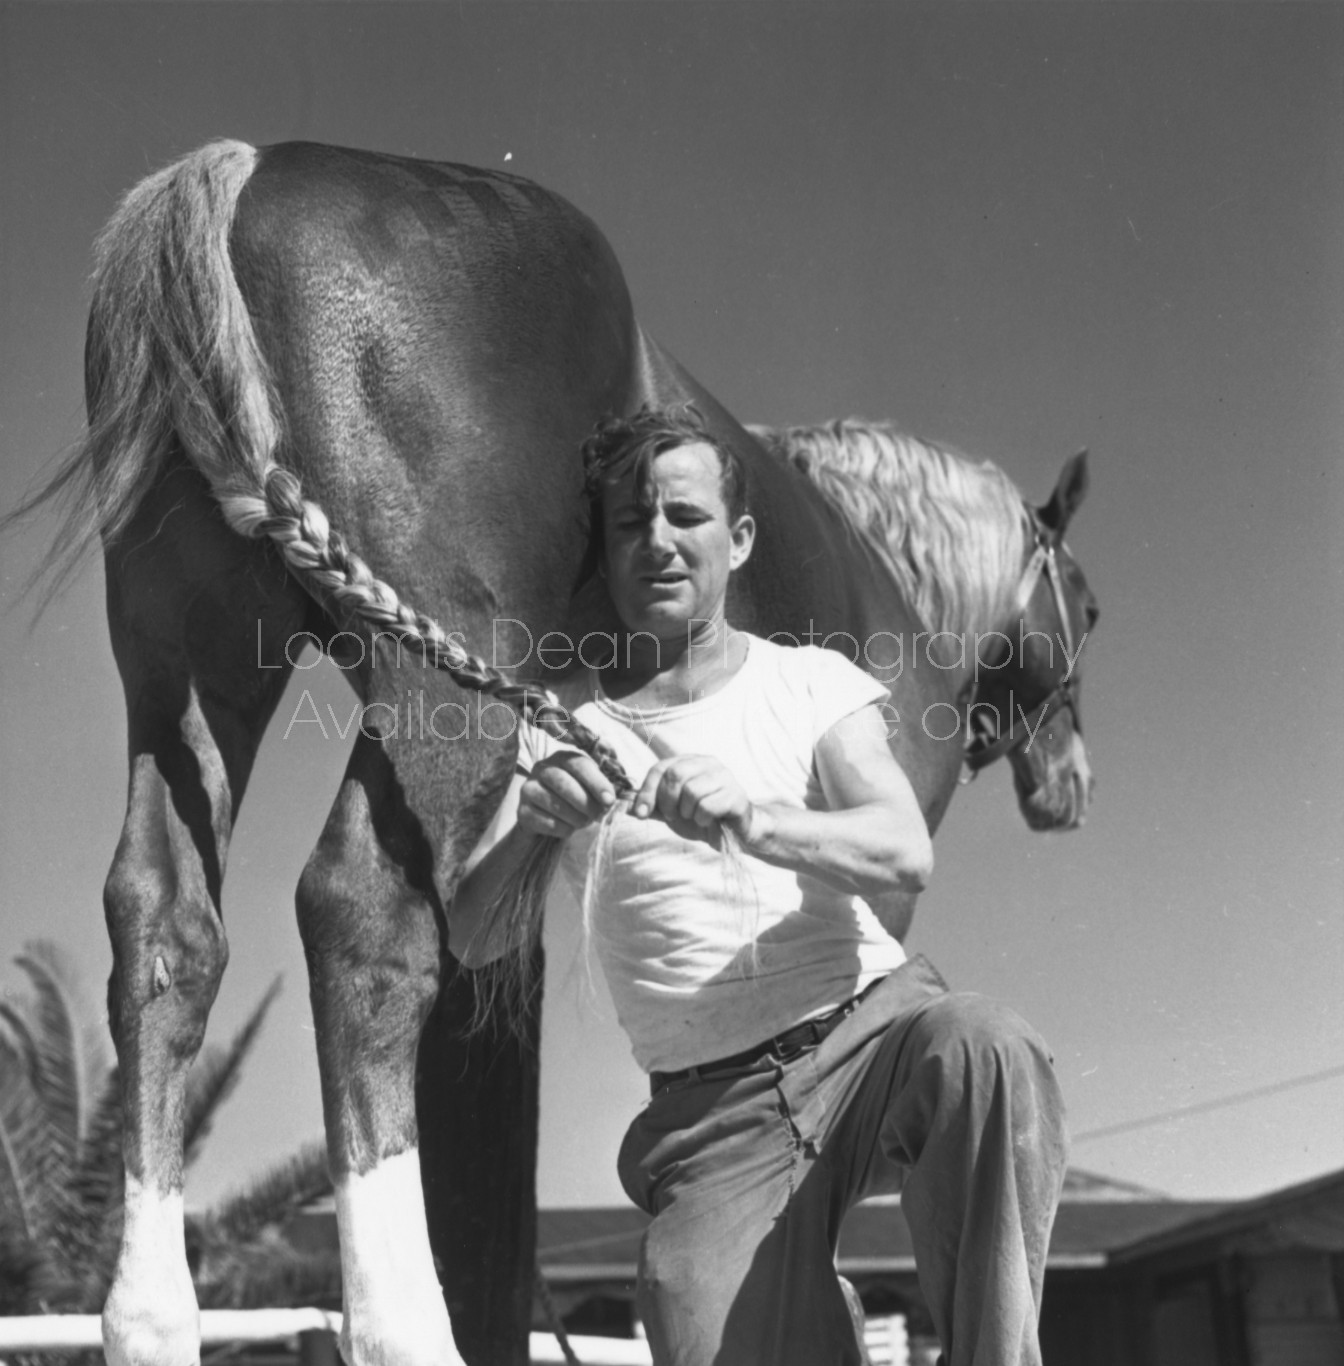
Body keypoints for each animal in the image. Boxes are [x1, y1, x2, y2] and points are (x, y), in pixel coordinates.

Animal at [13, 141, 1092, 1366]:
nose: (1070, 783)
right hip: (437, 688)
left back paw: (149, 1317)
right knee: (361, 923)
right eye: (1089, 608)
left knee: (165, 925)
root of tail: (251, 173)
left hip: (189, 674)